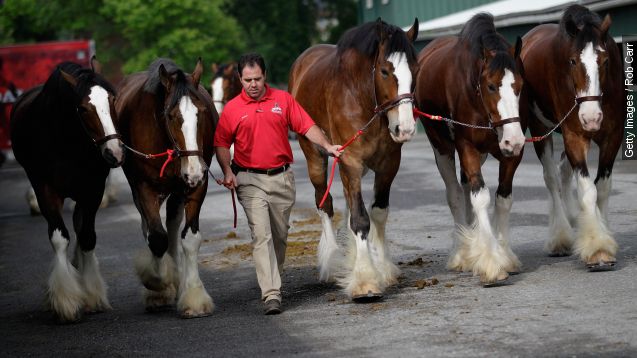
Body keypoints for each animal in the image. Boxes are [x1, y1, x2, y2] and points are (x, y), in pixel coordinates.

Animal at [10, 58, 123, 322]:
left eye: (112, 99)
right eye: (83, 109)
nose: (114, 152)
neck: (66, 142)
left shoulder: (92, 190)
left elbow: (87, 237)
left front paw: (91, 294)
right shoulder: (46, 190)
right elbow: (59, 237)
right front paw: (66, 301)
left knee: (81, 229)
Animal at [117, 59, 219, 318]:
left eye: (201, 113)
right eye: (172, 116)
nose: (194, 169)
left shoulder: (196, 186)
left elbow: (189, 239)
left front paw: (193, 296)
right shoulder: (144, 188)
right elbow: (156, 238)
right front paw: (158, 287)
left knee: (172, 229)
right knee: (151, 230)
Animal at [286, 18, 418, 300]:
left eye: (415, 68)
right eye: (384, 71)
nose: (405, 128)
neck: (362, 98)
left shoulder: (389, 165)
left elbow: (377, 214)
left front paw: (383, 269)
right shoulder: (350, 162)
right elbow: (359, 219)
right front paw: (365, 281)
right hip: (315, 157)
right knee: (324, 203)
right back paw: (330, 263)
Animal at [414, 13, 524, 286]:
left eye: (519, 85)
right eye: (491, 86)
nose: (514, 139)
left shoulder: (510, 156)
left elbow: (503, 199)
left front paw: (503, 254)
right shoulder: (467, 148)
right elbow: (480, 198)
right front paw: (492, 263)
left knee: (465, 190)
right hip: (441, 147)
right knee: (455, 194)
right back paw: (462, 253)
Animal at [520, 5, 620, 270]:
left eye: (605, 61)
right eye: (573, 61)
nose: (591, 117)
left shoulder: (612, 137)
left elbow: (602, 188)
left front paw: (604, 234)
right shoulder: (574, 136)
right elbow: (588, 190)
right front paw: (597, 249)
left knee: (564, 172)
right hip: (540, 131)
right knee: (552, 178)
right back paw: (559, 238)